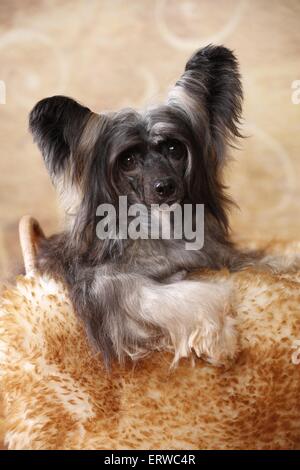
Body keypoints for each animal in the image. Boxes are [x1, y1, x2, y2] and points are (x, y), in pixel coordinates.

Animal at [29, 45, 266, 368]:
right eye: (128, 160)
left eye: (174, 148)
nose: (165, 187)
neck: (158, 227)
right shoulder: (106, 285)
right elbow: (176, 296)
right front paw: (220, 336)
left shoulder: (219, 257)